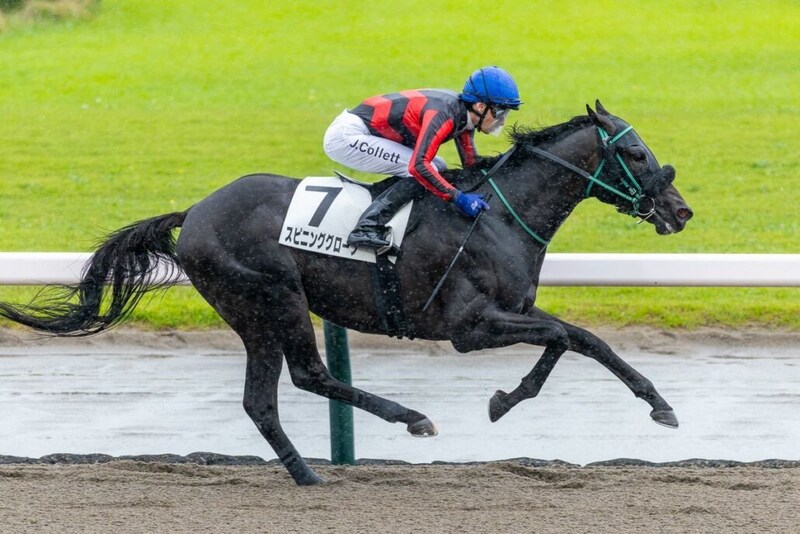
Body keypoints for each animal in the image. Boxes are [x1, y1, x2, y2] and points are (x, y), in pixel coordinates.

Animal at [0, 101, 692, 485]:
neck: (495, 213)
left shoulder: (512, 310)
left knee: (264, 399)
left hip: (257, 311)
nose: (680, 210)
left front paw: (659, 406)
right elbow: (559, 337)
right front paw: (506, 399)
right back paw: (406, 421)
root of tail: (193, 212)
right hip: (270, 298)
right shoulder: (468, 327)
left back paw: (308, 473)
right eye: (635, 151)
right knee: (306, 376)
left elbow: (582, 338)